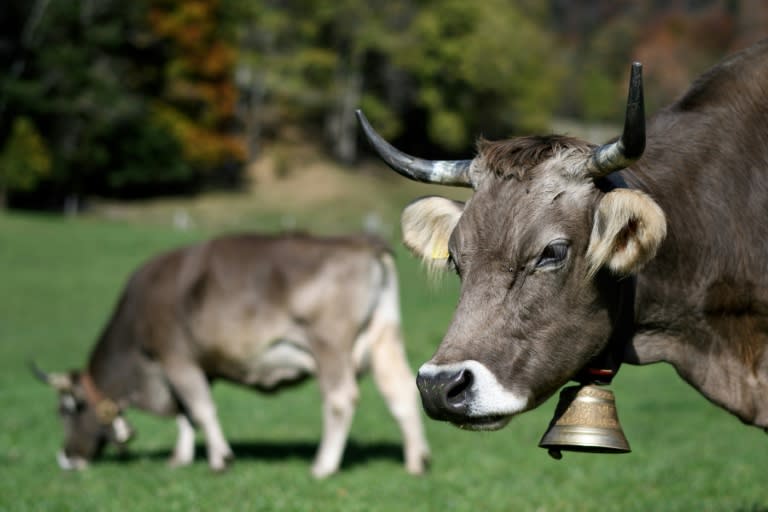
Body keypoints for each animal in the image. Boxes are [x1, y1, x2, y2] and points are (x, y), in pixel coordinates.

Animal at [33, 233, 428, 480]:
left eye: (68, 409)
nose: (65, 459)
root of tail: (362, 242)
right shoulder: (194, 367)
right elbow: (187, 414)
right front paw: (181, 459)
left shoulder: (176, 358)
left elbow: (201, 410)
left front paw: (220, 460)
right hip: (384, 339)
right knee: (401, 391)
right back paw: (417, 461)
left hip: (329, 346)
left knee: (340, 399)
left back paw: (323, 466)